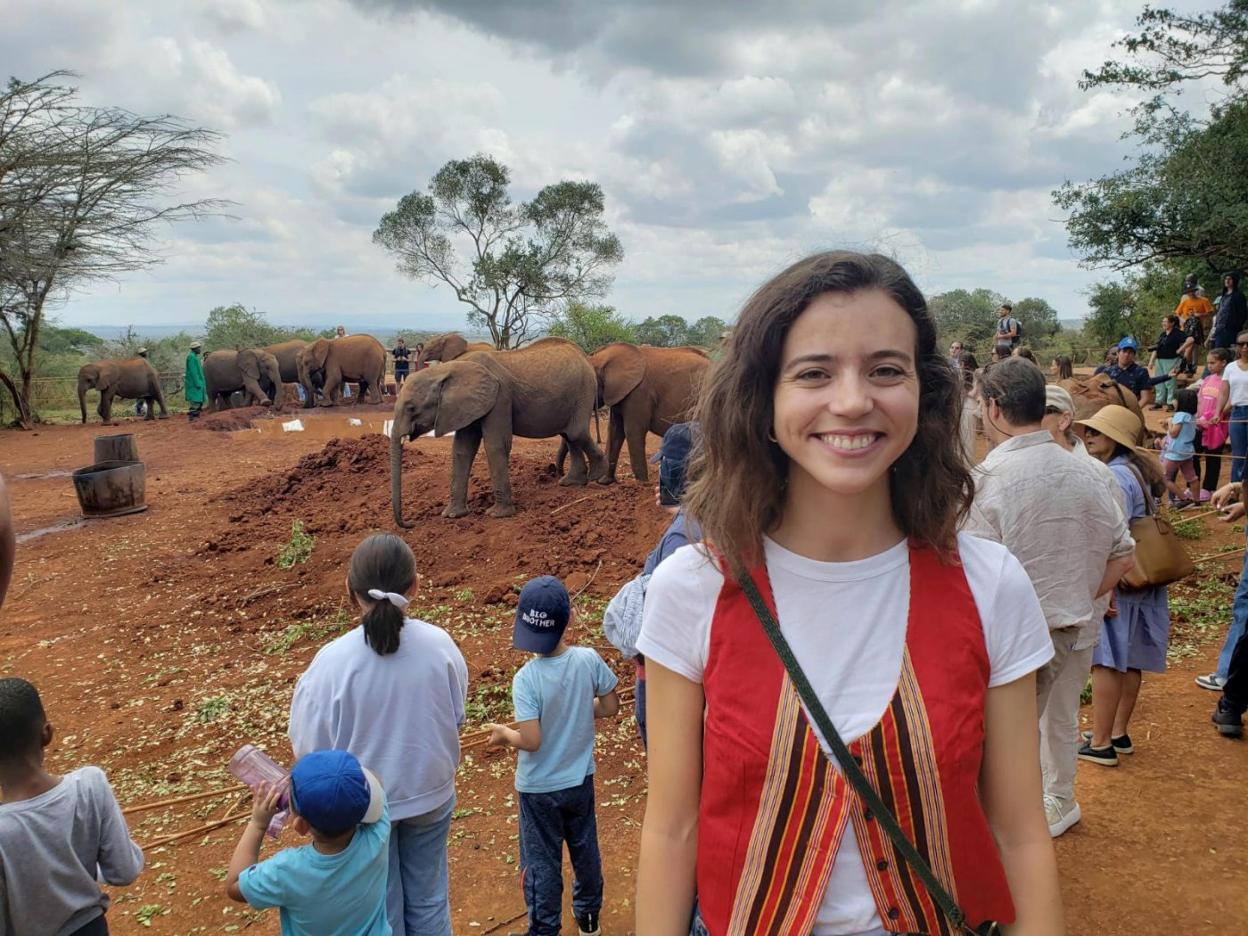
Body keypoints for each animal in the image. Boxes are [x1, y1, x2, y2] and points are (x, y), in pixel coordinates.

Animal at [389, 339, 604, 529]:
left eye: (411, 408)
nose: (409, 524)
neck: (450, 369)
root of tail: (584, 357)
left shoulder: (500, 397)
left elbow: (495, 445)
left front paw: (497, 515)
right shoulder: (467, 404)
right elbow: (462, 450)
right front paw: (452, 515)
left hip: (584, 390)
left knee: (576, 432)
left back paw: (598, 479)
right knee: (570, 435)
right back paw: (572, 483)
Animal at [559, 349, 713, 486]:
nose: (559, 475)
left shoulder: (639, 393)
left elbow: (632, 431)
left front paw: (641, 484)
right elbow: (615, 431)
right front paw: (604, 482)